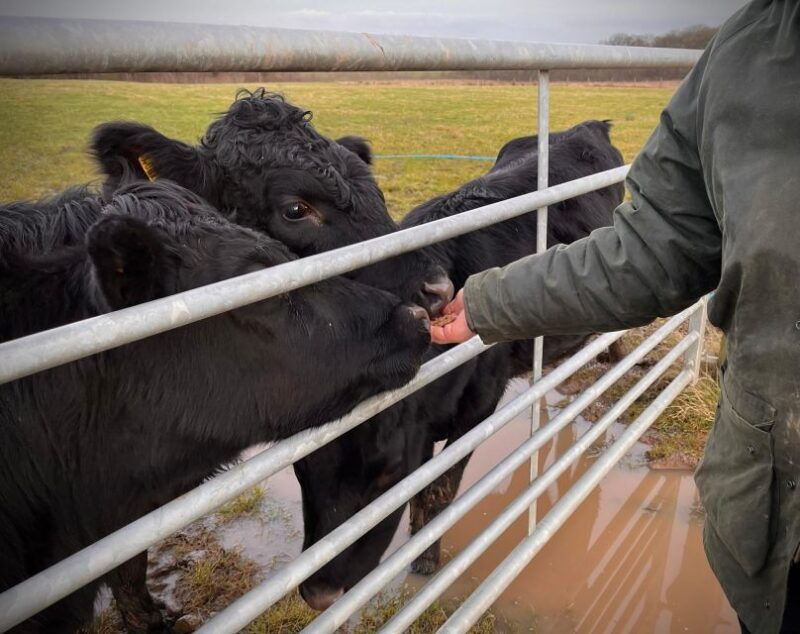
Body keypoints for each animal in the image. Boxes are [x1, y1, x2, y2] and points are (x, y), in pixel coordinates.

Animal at [294, 120, 625, 609]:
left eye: (388, 471)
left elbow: (439, 490)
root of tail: (587, 127)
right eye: (302, 470)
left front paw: (427, 560)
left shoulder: (478, 408)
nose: (320, 593)